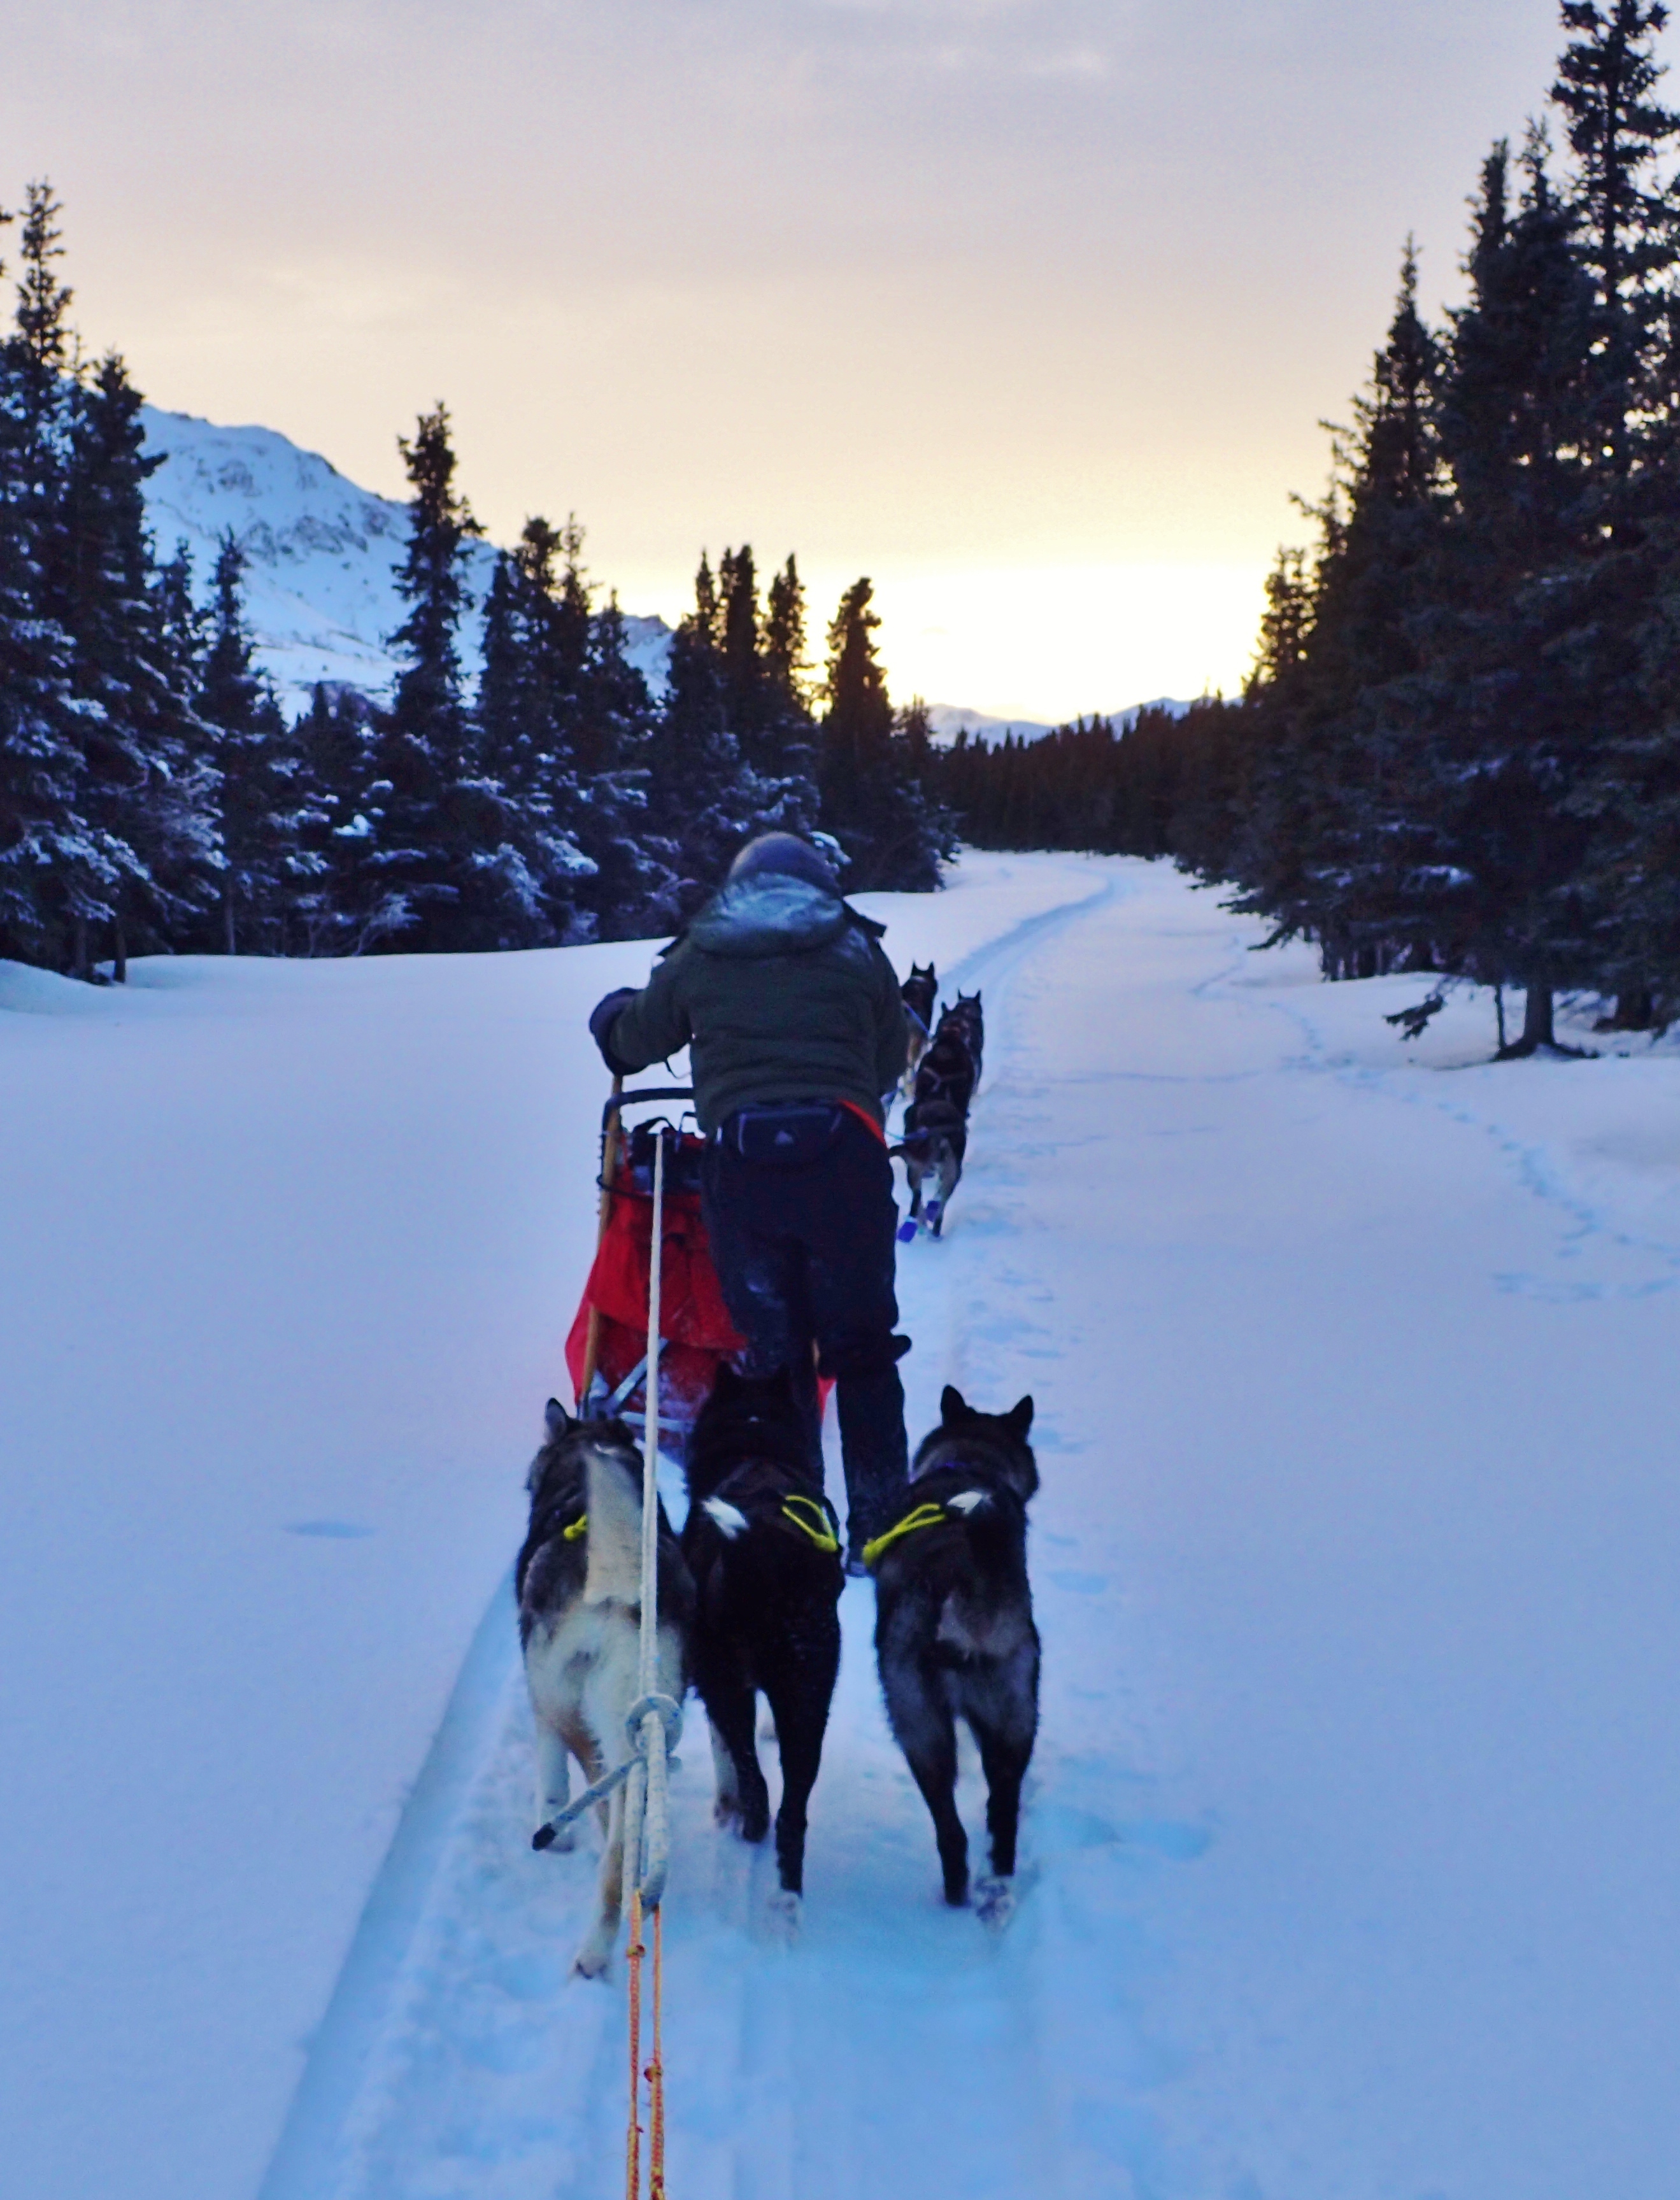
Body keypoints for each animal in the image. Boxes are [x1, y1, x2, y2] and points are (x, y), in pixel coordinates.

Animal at [514, 1399, 690, 1989]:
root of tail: (623, 1591)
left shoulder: (543, 1697)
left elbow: (550, 1774)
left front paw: (557, 1830)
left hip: (572, 1704)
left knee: (600, 1793)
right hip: (644, 1719)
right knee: (621, 1846)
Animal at [677, 1355, 844, 1892]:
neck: (754, 1439)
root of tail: (763, 1556)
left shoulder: (713, 1683)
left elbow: (723, 1754)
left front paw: (723, 1804)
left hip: (728, 1681)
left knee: (755, 1780)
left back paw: (748, 1827)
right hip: (810, 1696)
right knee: (793, 1812)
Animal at [871, 1390, 1029, 1909]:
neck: (969, 1460)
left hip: (919, 1729)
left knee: (951, 1828)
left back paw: (960, 1891)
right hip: (1010, 1717)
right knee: (1000, 1813)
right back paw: (992, 1888)